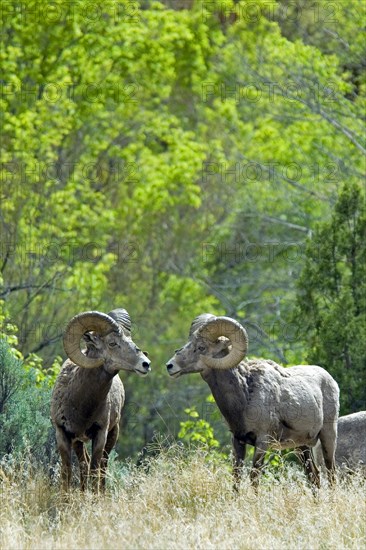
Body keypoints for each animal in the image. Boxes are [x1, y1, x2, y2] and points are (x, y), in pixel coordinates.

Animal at [50, 308, 150, 494]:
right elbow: (67, 472)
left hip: (113, 433)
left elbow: (95, 470)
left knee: (102, 466)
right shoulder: (63, 434)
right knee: (84, 464)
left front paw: (95, 498)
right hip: (79, 442)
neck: (80, 405)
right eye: (112, 343)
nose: (145, 364)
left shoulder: (100, 434)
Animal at [167, 314, 340, 492]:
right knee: (314, 476)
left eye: (201, 347)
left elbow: (253, 478)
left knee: (331, 474)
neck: (245, 397)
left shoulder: (262, 442)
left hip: (328, 437)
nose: (170, 366)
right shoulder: (237, 442)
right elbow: (236, 479)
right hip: (302, 447)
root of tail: (330, 379)